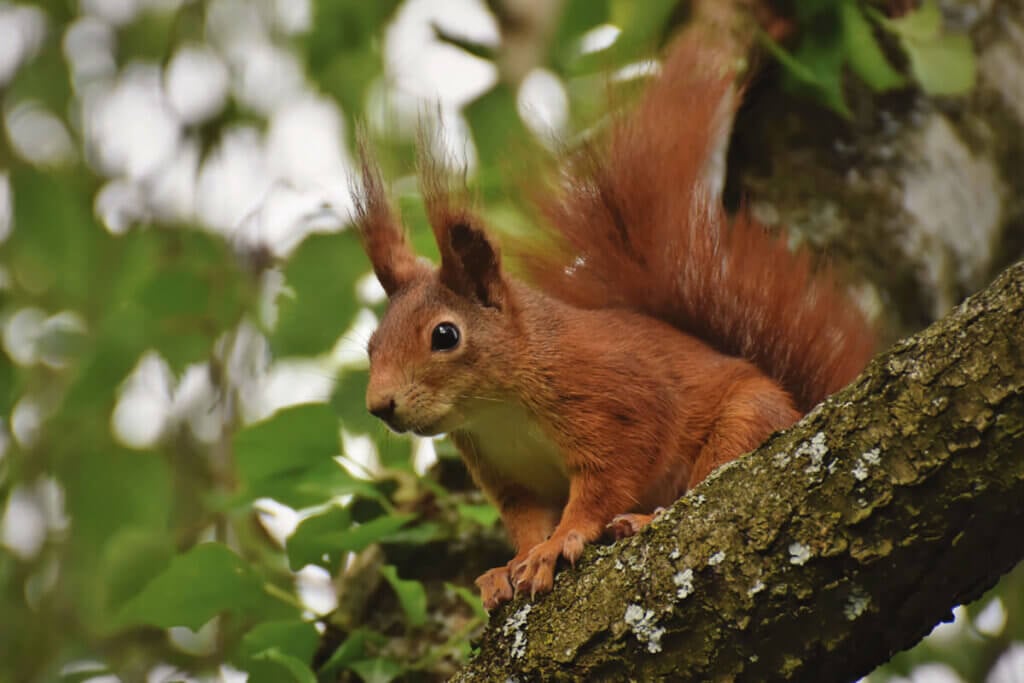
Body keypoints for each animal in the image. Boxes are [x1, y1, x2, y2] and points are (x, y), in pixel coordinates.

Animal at [352, 23, 875, 610]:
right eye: (371, 345)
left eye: (445, 335)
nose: (380, 406)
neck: (498, 407)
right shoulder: (507, 473)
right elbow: (525, 520)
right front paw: (509, 566)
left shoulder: (614, 401)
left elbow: (605, 484)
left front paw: (558, 544)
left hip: (747, 421)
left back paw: (645, 518)